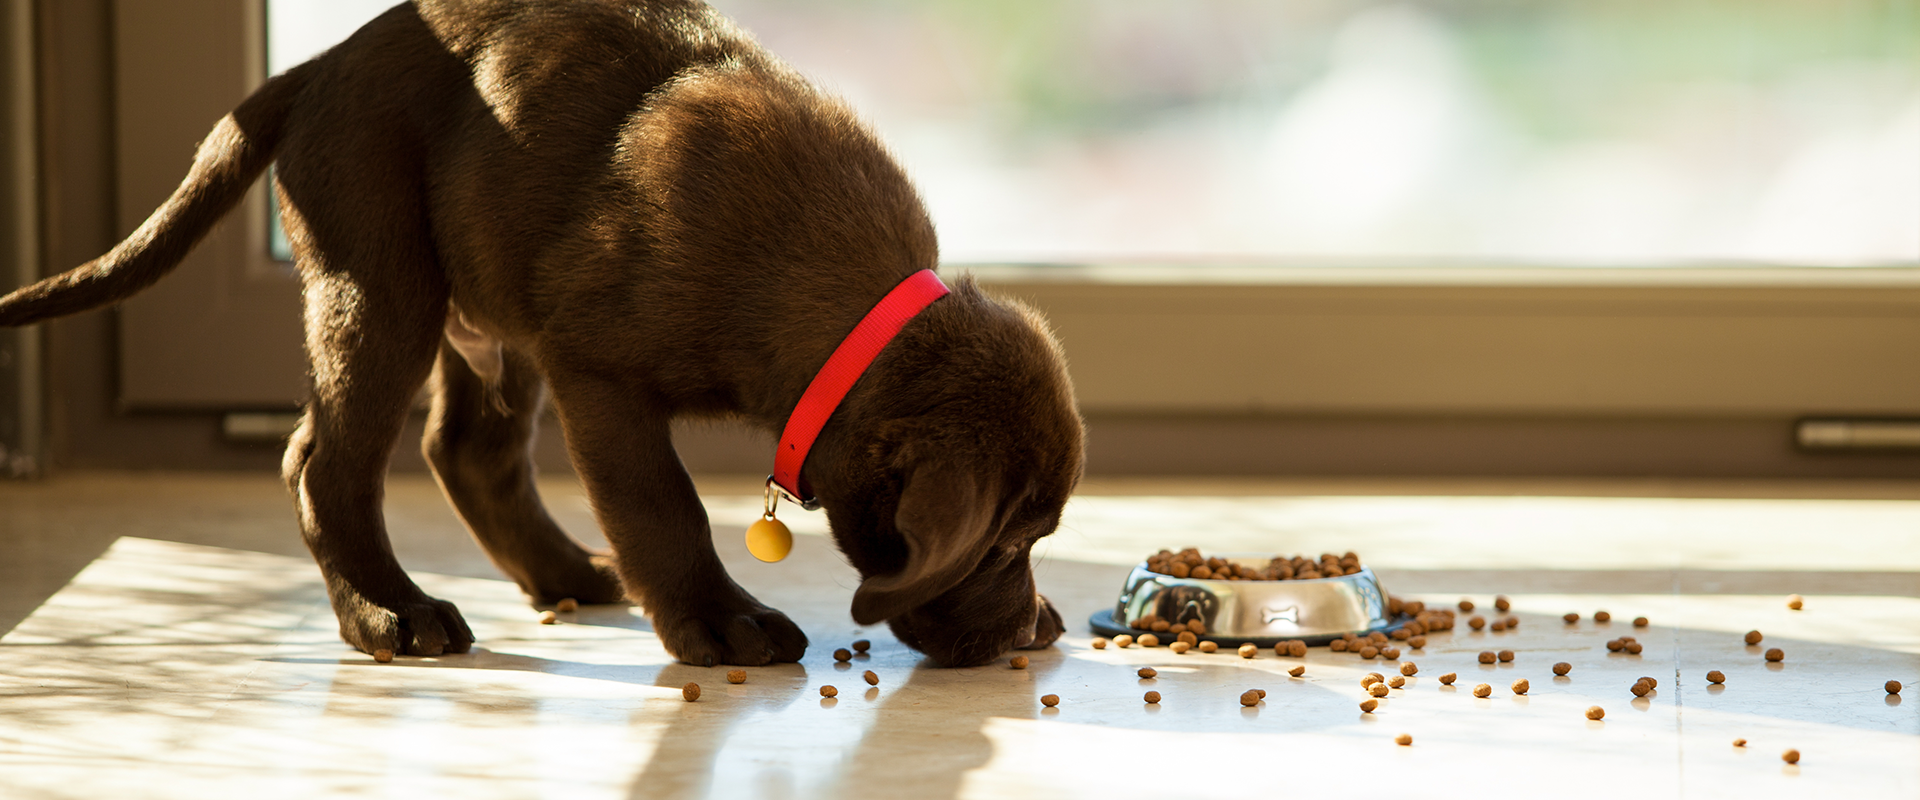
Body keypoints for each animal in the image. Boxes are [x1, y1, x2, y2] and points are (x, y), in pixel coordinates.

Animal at [0, 0, 1082, 667]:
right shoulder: (600, 375)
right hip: (382, 283)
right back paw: (389, 612)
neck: (840, 305)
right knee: (324, 461)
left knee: (464, 449)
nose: (1028, 634)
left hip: (486, 309)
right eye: (1001, 544)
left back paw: (561, 575)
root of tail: (318, 67)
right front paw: (723, 620)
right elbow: (664, 507)